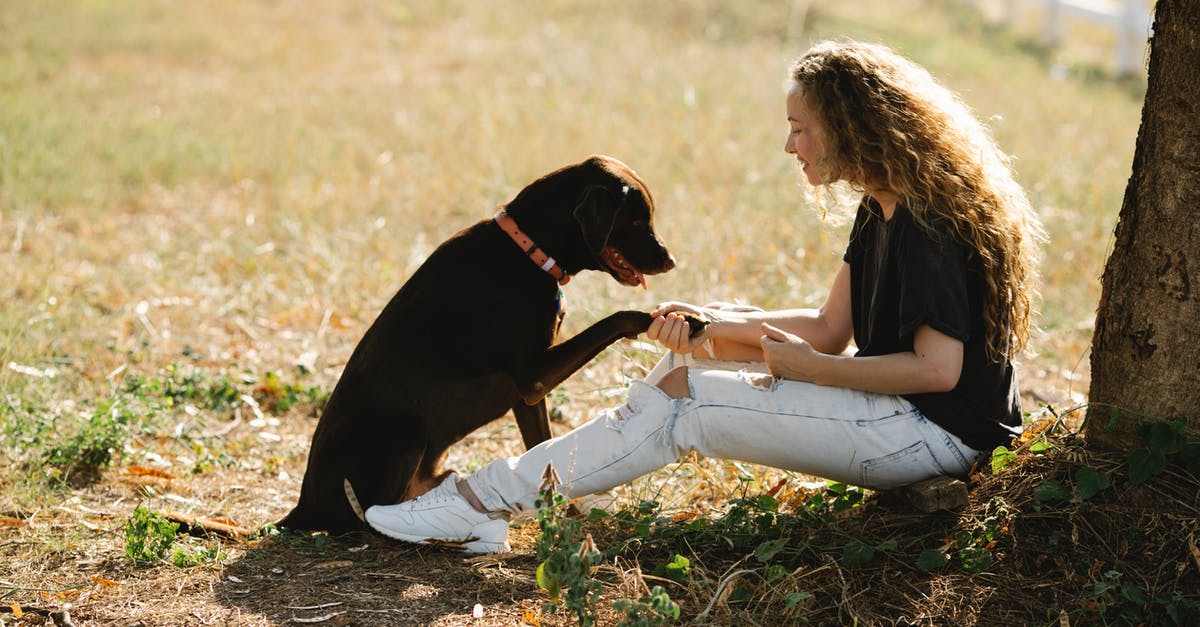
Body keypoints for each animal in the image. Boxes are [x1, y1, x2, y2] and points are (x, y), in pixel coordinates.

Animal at [279, 153, 696, 528]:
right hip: (405, 434)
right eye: (636, 219)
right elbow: (619, 317)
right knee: (366, 516)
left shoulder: (529, 396)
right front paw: (682, 320)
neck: (528, 250)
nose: (672, 261)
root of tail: (302, 507)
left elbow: (544, 452)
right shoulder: (534, 375)